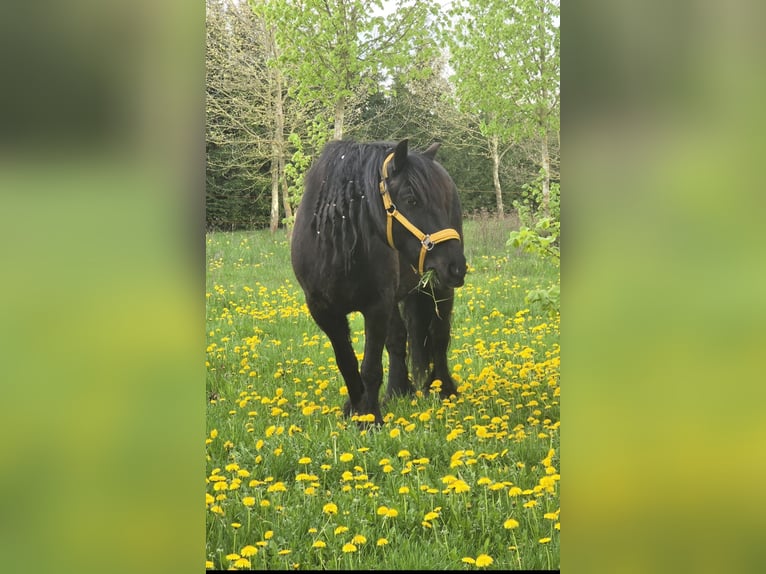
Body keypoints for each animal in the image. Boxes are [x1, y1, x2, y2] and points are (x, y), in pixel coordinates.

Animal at [290, 139, 466, 425]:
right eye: (411, 199)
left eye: (442, 202)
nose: (457, 267)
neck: (337, 249)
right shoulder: (324, 312)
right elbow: (348, 364)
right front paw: (356, 409)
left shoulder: (377, 306)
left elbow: (370, 367)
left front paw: (369, 418)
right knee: (398, 339)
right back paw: (396, 392)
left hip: (438, 287)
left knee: (438, 337)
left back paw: (444, 391)